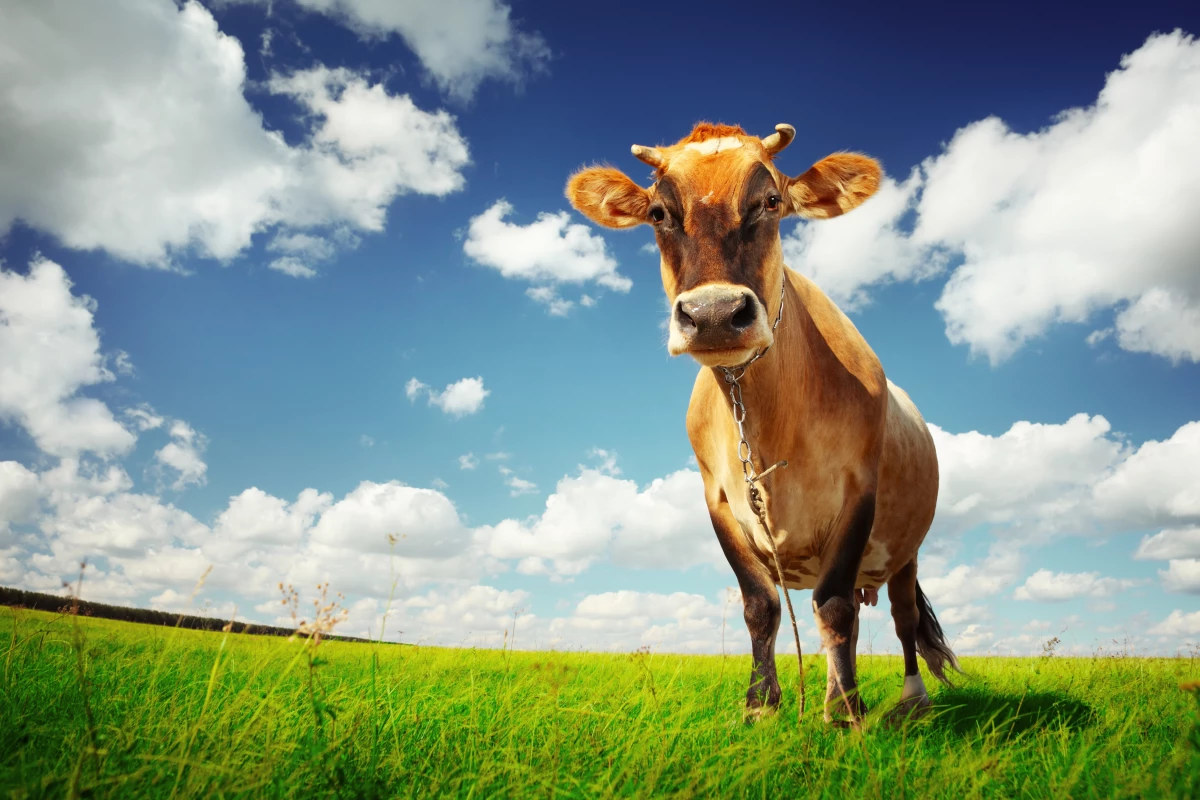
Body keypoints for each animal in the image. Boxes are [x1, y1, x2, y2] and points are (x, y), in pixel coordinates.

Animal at [565, 122, 958, 727]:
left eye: (771, 201)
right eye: (658, 212)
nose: (713, 315)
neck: (766, 415)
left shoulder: (859, 491)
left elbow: (835, 607)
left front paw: (846, 714)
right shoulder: (719, 500)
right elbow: (761, 605)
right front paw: (762, 705)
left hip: (906, 550)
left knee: (901, 616)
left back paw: (908, 699)